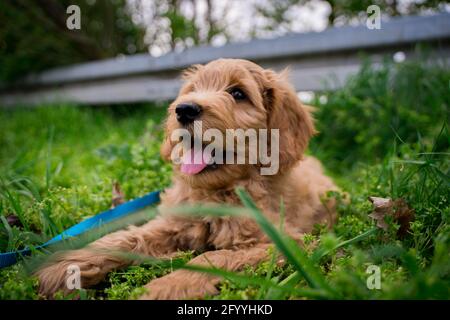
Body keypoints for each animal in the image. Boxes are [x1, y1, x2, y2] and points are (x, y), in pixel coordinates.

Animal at [36, 58, 338, 298]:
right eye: (192, 90)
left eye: (238, 93)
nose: (184, 109)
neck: (217, 192)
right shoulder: (172, 223)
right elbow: (126, 239)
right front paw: (62, 268)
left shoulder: (286, 242)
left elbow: (212, 257)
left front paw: (161, 289)